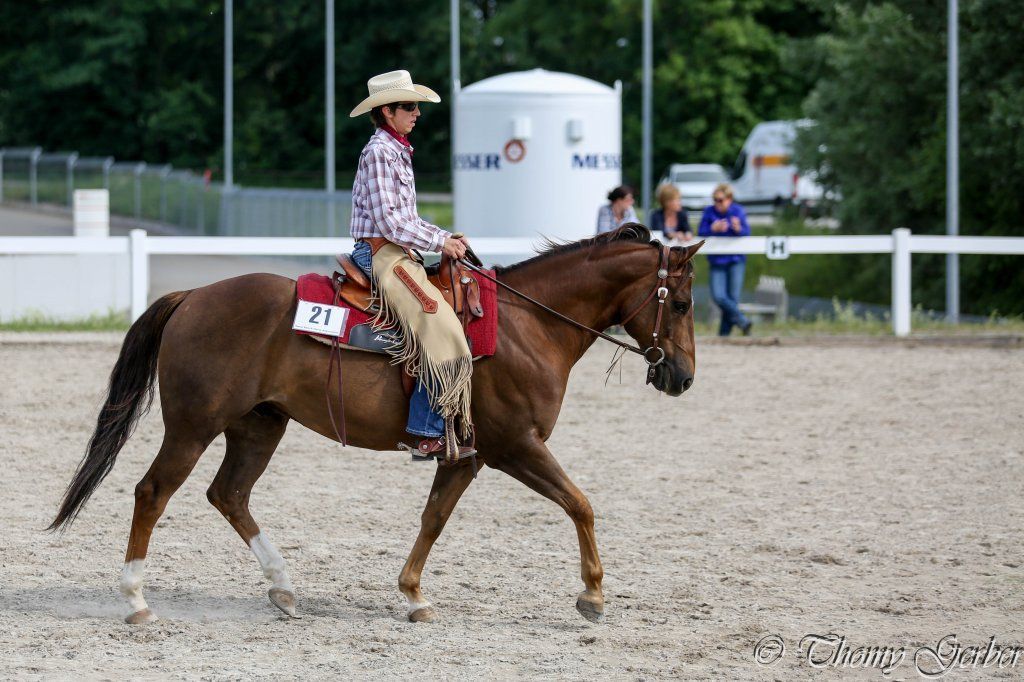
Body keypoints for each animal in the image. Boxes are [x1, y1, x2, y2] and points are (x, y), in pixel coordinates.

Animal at [49, 224, 703, 625]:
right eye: (683, 302)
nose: (683, 377)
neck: (527, 326)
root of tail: (192, 295)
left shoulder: (467, 456)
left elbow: (434, 519)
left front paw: (413, 596)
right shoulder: (517, 446)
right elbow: (580, 504)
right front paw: (593, 594)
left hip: (259, 426)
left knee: (228, 494)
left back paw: (283, 588)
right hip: (192, 427)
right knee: (153, 492)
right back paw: (136, 601)